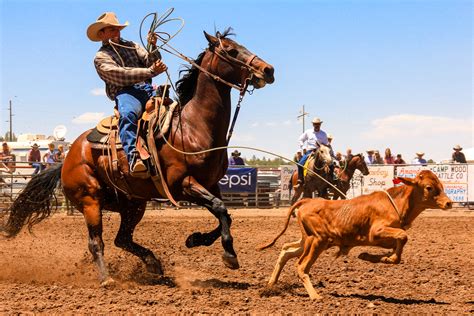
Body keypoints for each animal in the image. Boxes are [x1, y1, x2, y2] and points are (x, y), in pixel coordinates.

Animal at [0, 29, 274, 286]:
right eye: (231, 50)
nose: (268, 70)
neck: (191, 127)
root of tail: (66, 160)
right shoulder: (183, 185)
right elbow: (220, 209)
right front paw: (229, 255)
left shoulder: (211, 184)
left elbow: (225, 214)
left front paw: (195, 239)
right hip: (90, 200)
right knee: (96, 242)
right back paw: (107, 279)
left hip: (132, 204)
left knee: (122, 239)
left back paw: (153, 264)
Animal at [258, 172, 454, 300]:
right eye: (429, 187)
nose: (449, 203)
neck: (397, 203)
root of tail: (308, 201)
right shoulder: (376, 232)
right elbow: (403, 236)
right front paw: (386, 258)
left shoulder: (380, 239)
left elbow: (396, 245)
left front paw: (370, 256)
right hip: (318, 241)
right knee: (301, 266)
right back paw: (316, 297)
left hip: (308, 240)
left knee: (286, 250)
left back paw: (270, 284)